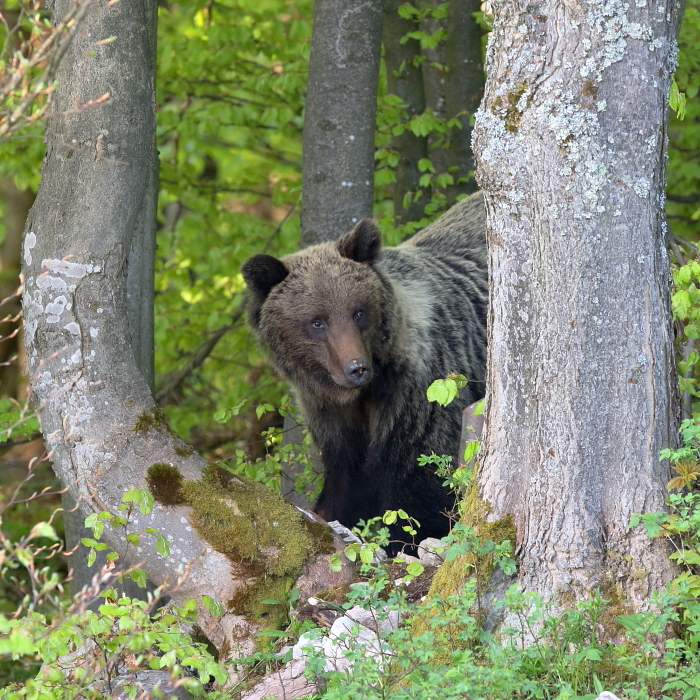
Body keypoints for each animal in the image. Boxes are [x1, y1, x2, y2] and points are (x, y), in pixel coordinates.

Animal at [241, 191, 486, 552]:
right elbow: (345, 478)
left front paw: (406, 538)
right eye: (317, 321)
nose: (357, 368)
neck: (364, 393)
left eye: (358, 311)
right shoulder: (330, 413)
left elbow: (420, 484)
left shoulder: (417, 397)